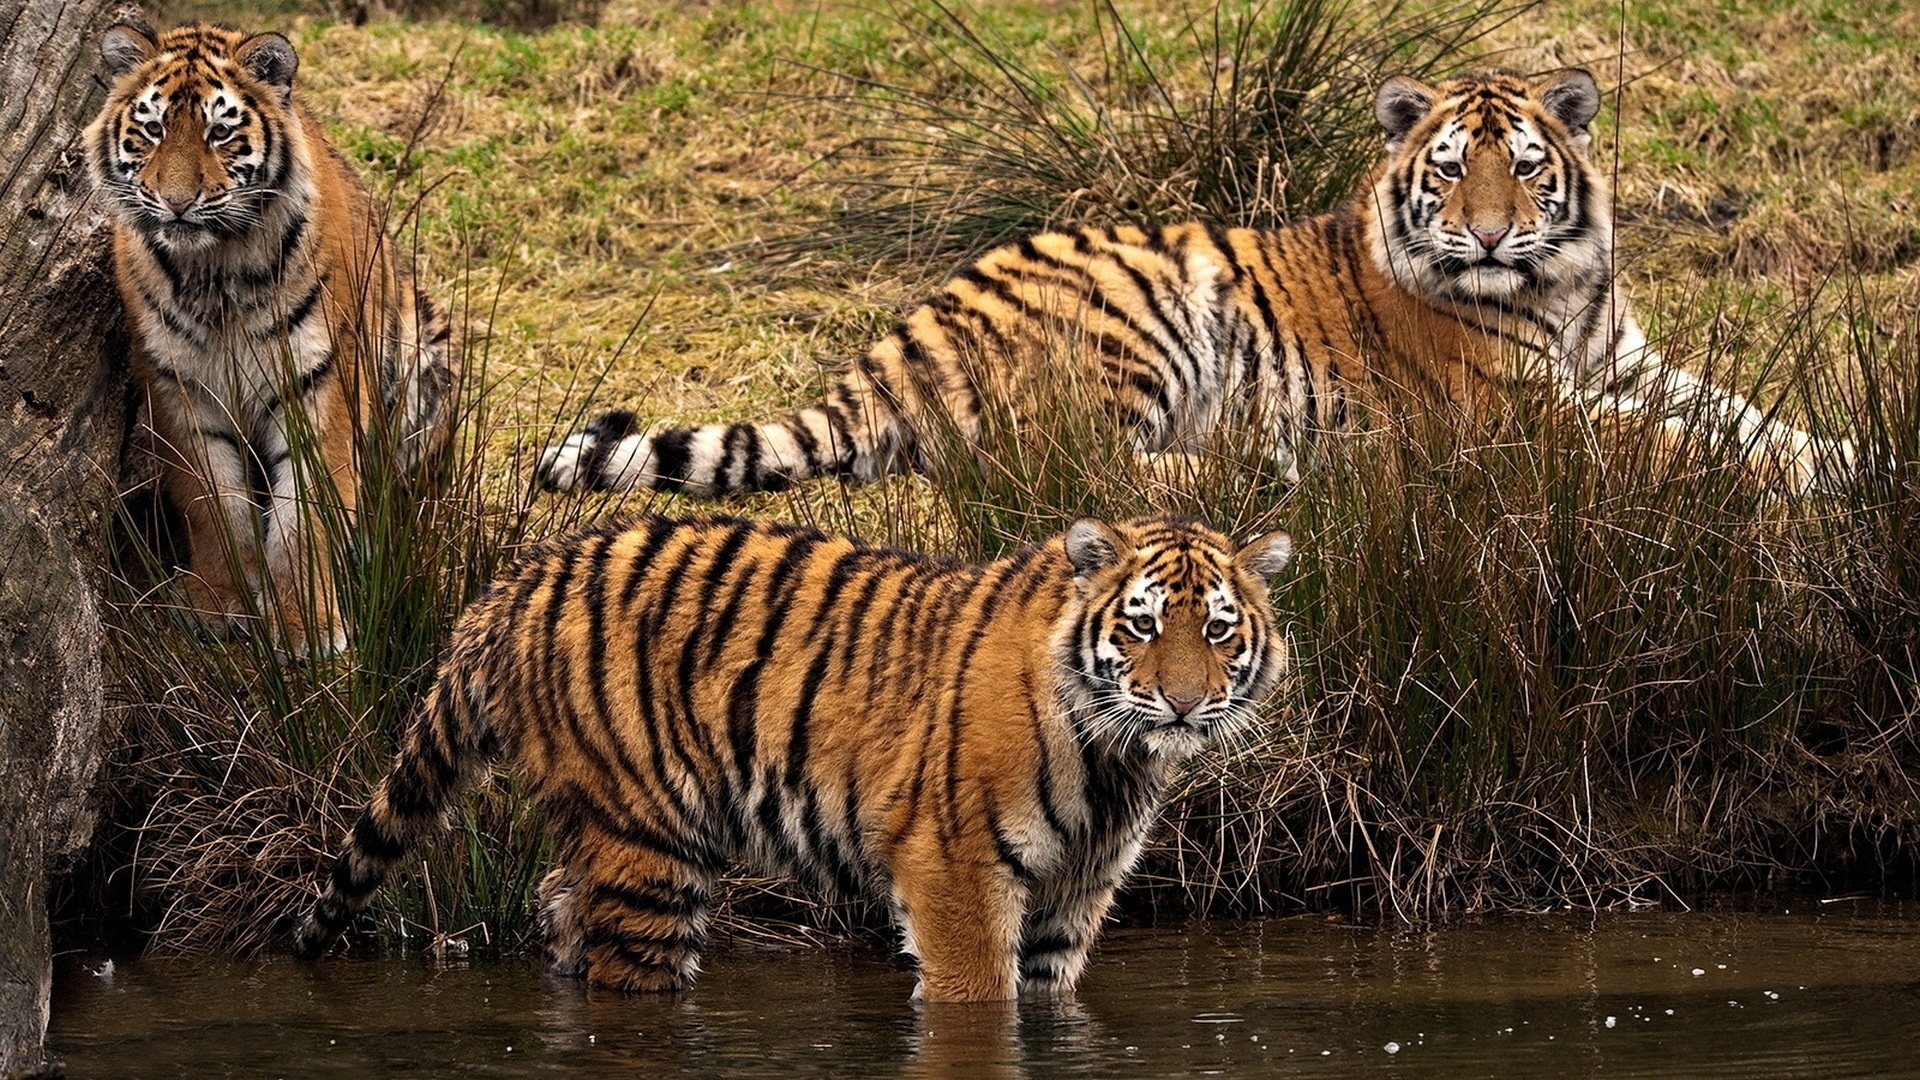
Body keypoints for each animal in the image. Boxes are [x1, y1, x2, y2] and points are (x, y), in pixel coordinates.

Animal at [88, 21, 458, 653]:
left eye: (220, 132)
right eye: (153, 129)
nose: (176, 203)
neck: (215, 271)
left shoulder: (321, 384)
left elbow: (306, 515)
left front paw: (306, 627)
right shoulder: (178, 387)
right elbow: (211, 502)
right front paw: (220, 602)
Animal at [291, 511, 1297, 999]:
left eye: (1216, 630)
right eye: (1141, 627)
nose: (1185, 701)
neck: (1114, 761)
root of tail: (516, 580)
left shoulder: (1074, 893)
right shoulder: (955, 871)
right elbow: (979, 999)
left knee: (558, 909)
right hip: (648, 847)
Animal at [537, 69, 1843, 499]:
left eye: (1523, 170)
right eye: (1447, 174)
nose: (1481, 242)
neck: (1562, 290)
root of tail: (901, 334)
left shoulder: (1628, 362)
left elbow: (1739, 413)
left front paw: (1844, 454)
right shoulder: (1519, 409)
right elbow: (1672, 445)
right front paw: (1805, 475)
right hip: (1147, 310)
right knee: (1058, 467)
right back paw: (1272, 464)